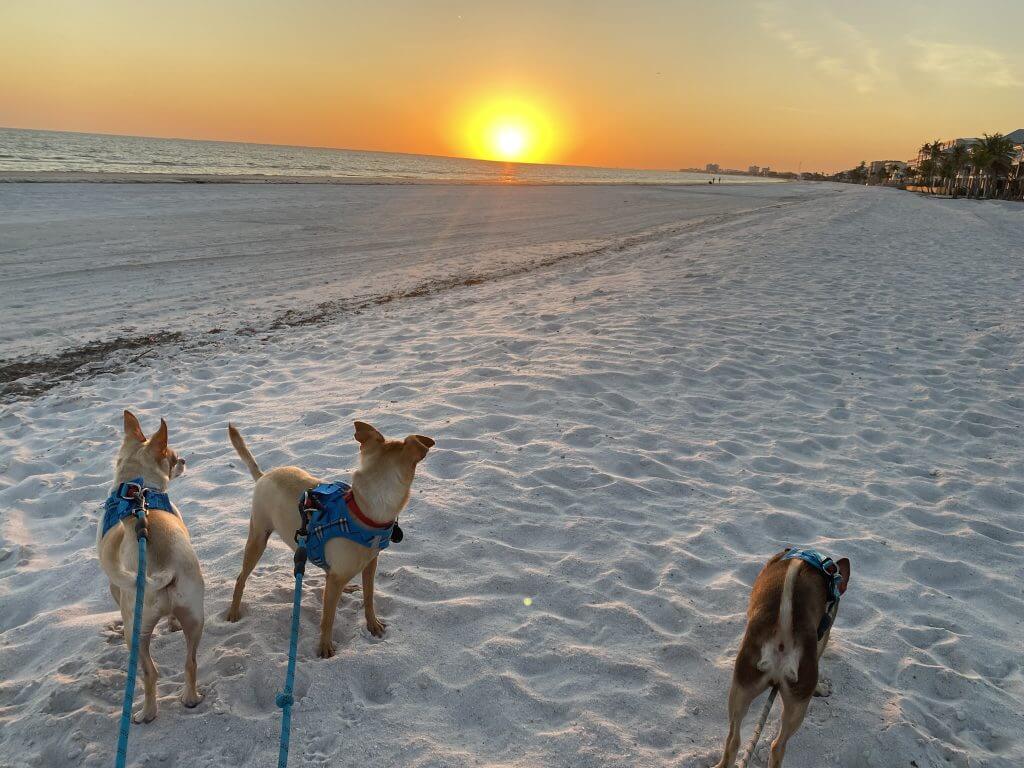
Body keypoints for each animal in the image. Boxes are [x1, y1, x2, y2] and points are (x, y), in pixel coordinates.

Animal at [96, 411, 204, 724]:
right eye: (173, 457)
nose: (184, 460)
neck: (137, 487)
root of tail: (163, 567)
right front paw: (171, 624)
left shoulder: (115, 585)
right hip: (195, 616)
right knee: (190, 662)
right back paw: (190, 698)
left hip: (135, 632)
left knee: (149, 673)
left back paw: (147, 712)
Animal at [226, 423, 434, 659]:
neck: (363, 512)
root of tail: (263, 475)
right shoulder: (336, 580)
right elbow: (328, 618)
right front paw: (325, 646)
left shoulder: (370, 565)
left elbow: (369, 597)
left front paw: (372, 624)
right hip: (258, 539)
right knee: (240, 578)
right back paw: (234, 610)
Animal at [712, 548, 847, 765]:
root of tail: (783, 636)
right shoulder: (824, 633)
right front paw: (821, 689)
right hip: (798, 703)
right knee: (778, 745)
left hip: (742, 688)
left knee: (733, 739)